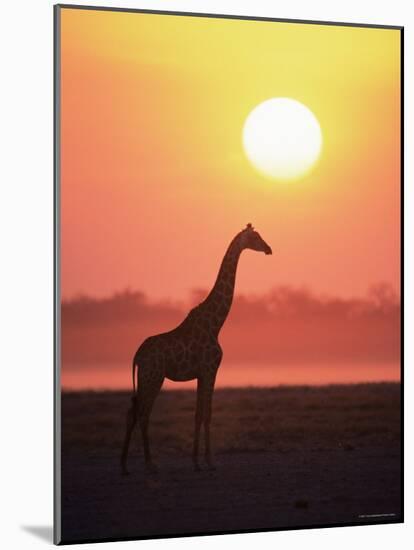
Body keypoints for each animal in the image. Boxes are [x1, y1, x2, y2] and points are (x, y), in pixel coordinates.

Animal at [121, 224, 272, 474]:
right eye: (255, 237)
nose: (269, 249)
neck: (216, 324)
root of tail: (136, 356)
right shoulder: (211, 370)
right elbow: (207, 415)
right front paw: (210, 461)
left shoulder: (201, 374)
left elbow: (198, 414)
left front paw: (196, 461)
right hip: (153, 377)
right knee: (143, 413)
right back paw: (150, 464)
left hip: (145, 378)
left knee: (132, 411)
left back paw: (124, 466)